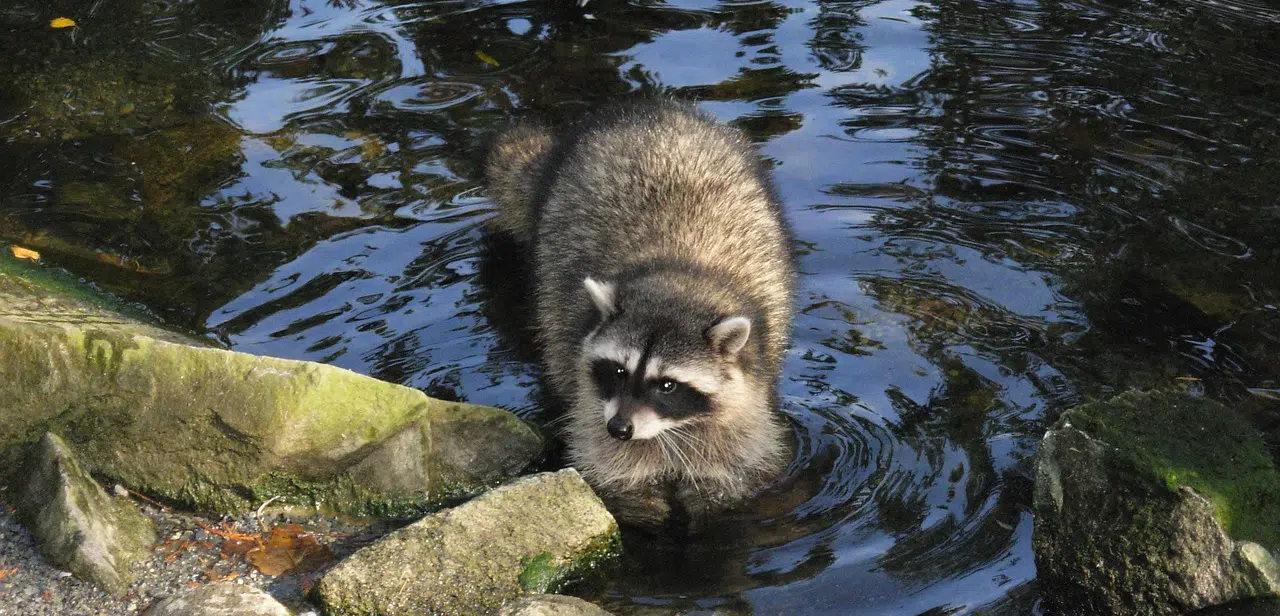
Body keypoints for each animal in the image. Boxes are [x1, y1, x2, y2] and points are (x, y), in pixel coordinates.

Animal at [484, 100, 796, 530]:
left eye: (667, 385)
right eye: (618, 371)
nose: (620, 428)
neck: (678, 277)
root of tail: (652, 111)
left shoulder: (750, 385)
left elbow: (738, 454)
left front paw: (713, 496)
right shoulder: (587, 382)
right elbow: (600, 449)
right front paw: (634, 496)